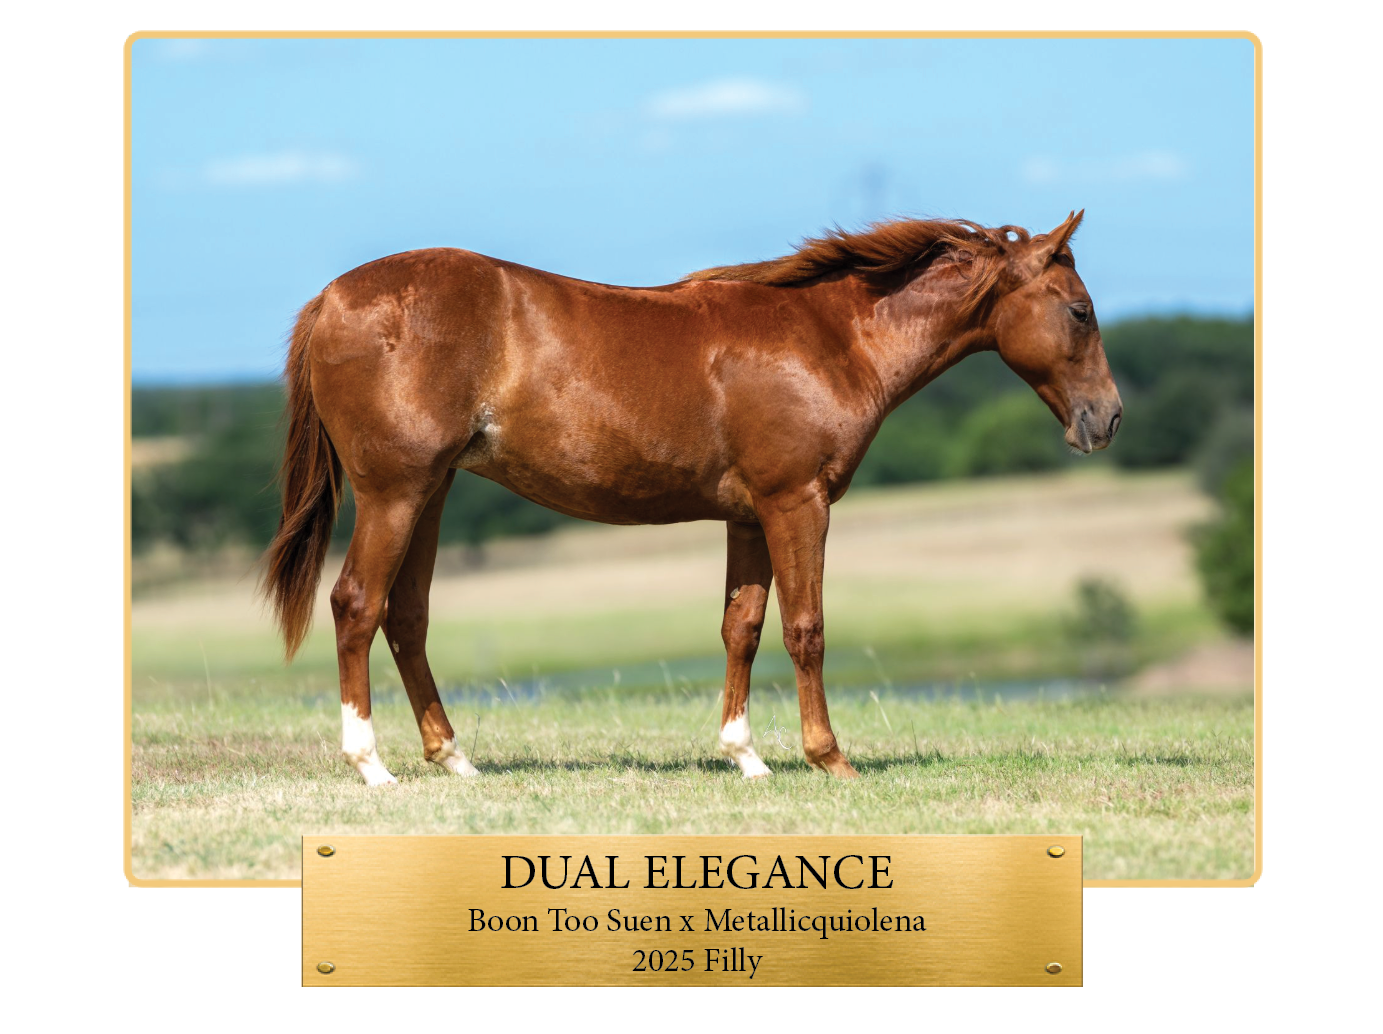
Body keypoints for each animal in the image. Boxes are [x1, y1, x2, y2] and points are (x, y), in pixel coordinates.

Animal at [260, 210, 1121, 785]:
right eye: (1079, 310)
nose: (1107, 418)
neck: (830, 339)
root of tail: (331, 299)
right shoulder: (796, 503)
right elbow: (805, 629)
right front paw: (828, 758)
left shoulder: (749, 514)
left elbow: (741, 628)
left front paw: (746, 756)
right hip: (394, 493)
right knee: (357, 604)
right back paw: (370, 764)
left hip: (429, 494)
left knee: (405, 616)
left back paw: (454, 757)